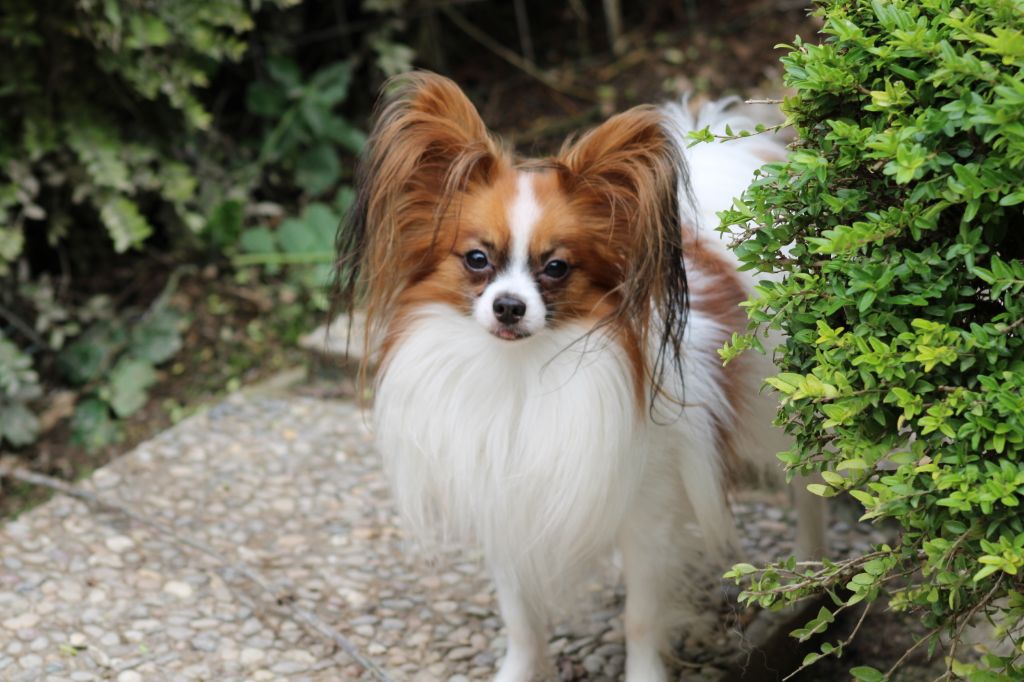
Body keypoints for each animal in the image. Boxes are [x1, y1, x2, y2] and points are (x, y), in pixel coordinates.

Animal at [336, 71, 813, 681]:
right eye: (476, 259)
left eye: (556, 267)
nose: (509, 307)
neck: (520, 374)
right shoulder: (505, 499)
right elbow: (519, 616)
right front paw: (519, 669)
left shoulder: (650, 513)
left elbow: (640, 618)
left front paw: (644, 673)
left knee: (814, 492)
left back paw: (812, 570)